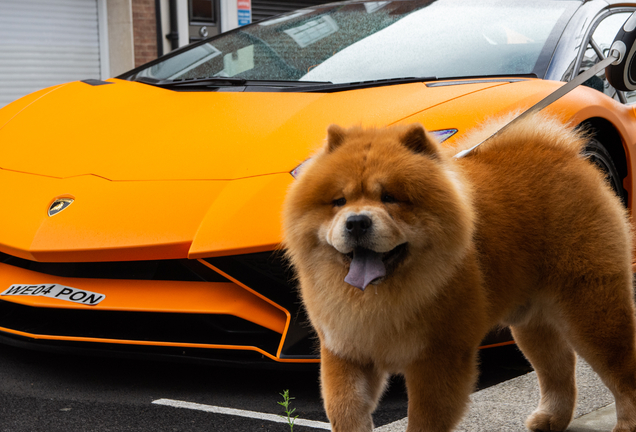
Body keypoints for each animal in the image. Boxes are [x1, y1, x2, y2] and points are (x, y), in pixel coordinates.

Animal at [284, 115, 636, 432]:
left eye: (390, 198)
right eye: (339, 201)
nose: (356, 222)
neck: (381, 297)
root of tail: (566, 152)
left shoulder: (437, 357)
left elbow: (425, 419)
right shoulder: (346, 352)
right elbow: (345, 408)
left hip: (591, 311)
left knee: (621, 368)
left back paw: (625, 424)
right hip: (531, 322)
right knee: (559, 365)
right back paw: (551, 419)